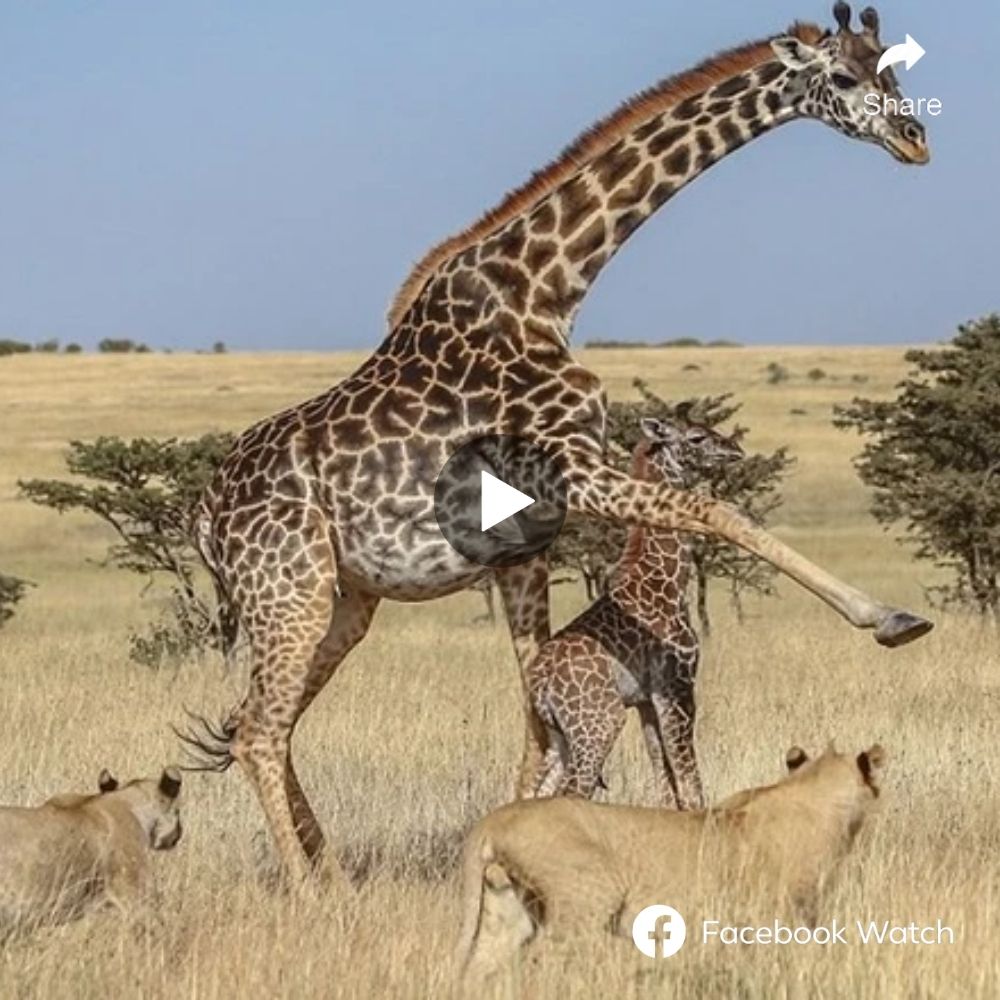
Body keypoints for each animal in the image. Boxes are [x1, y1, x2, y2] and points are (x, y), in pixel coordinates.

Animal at [458, 748, 888, 980]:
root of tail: (496, 818)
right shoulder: (783, 917)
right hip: (589, 899)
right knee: (544, 957)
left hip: (505, 909)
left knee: (480, 964)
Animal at [532, 418, 744, 808]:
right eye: (696, 437)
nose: (735, 450)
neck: (666, 577)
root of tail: (539, 682)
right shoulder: (676, 686)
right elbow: (690, 785)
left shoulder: (646, 700)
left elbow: (666, 786)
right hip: (598, 724)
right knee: (572, 791)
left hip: (558, 736)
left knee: (532, 791)